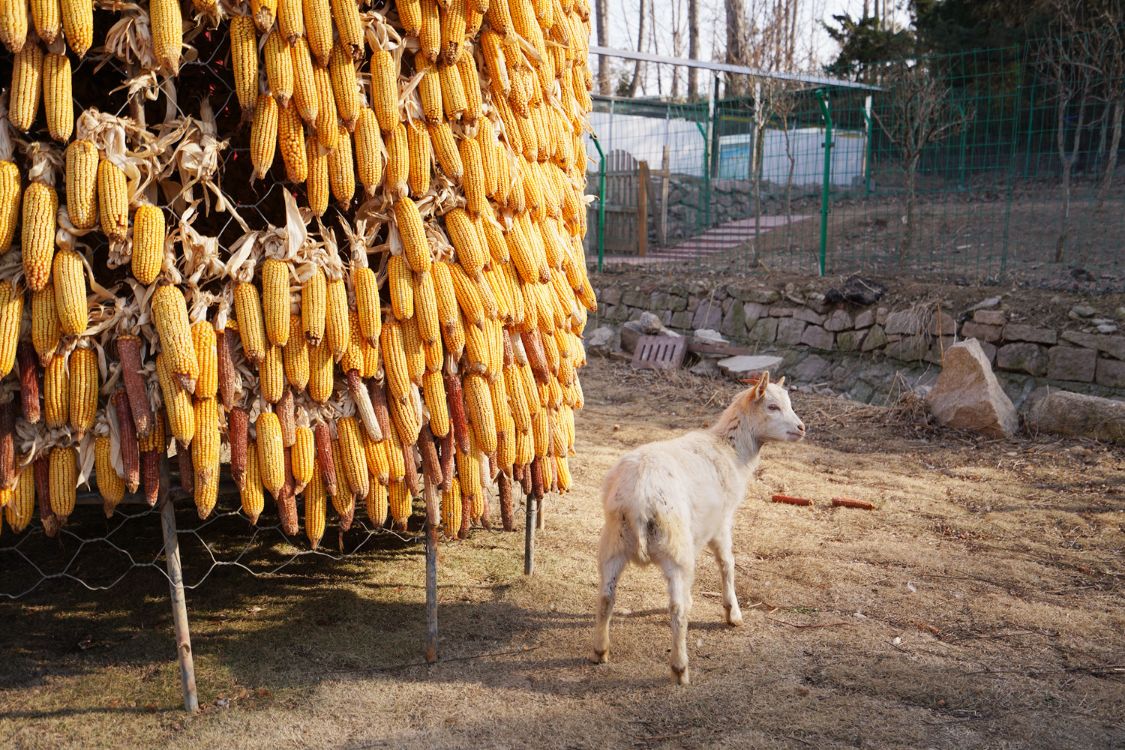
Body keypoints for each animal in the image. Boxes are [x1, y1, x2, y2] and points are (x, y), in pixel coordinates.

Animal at [594, 373, 805, 683]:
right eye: (773, 407)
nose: (802, 428)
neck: (731, 450)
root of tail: (639, 498)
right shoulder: (722, 521)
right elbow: (727, 562)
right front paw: (733, 613)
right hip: (674, 548)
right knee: (677, 609)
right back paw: (680, 668)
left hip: (613, 542)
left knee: (606, 596)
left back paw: (600, 651)